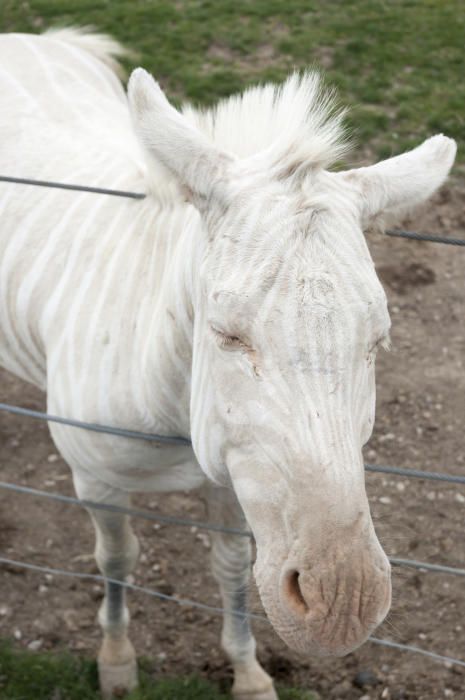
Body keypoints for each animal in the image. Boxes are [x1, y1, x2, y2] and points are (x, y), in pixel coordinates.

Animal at [0, 28, 456, 700]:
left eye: (378, 341)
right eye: (225, 334)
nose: (341, 605)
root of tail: (35, 36)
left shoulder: (235, 477)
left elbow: (233, 567)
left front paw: (247, 672)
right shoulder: (96, 480)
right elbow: (118, 559)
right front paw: (117, 658)